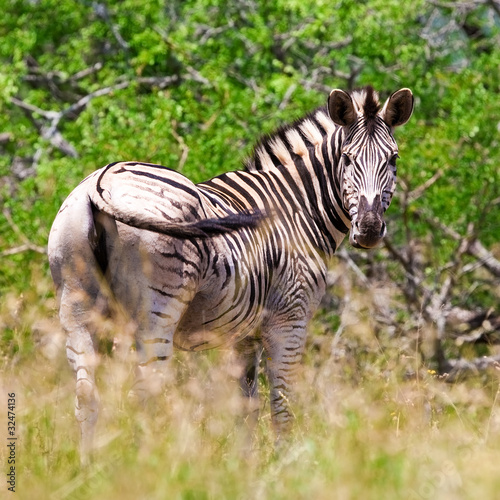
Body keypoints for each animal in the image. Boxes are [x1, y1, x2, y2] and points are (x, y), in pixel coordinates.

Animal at [47, 85, 414, 460]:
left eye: (393, 159)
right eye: (347, 159)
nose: (369, 229)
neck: (297, 208)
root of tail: (100, 182)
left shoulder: (243, 336)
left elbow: (246, 409)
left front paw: (244, 466)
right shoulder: (290, 319)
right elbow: (282, 406)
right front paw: (286, 464)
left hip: (77, 306)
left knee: (87, 395)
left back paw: (92, 466)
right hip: (156, 311)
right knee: (144, 394)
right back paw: (152, 464)